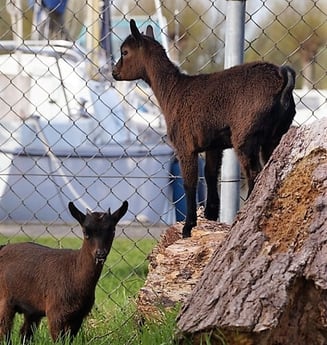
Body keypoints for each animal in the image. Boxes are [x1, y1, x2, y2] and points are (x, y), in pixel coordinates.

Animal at [0, 199, 129, 342]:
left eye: (112, 230)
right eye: (86, 232)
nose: (100, 253)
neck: (74, 273)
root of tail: (2, 248)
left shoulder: (78, 316)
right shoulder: (55, 313)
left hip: (31, 308)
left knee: (25, 334)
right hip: (4, 299)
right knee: (4, 331)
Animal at [113, 19, 298, 236]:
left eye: (125, 52)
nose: (114, 72)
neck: (173, 91)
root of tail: (282, 78)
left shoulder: (185, 145)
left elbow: (190, 182)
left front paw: (188, 227)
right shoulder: (213, 145)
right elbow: (210, 175)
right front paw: (210, 215)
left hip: (246, 136)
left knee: (255, 173)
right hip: (275, 135)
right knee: (272, 168)